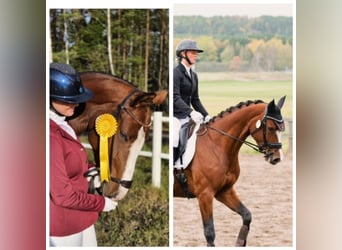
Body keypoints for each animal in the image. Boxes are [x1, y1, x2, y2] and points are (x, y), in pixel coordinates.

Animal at [174, 95, 286, 246]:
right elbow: (209, 232)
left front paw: (240, 242)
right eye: (270, 128)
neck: (216, 145)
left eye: (282, 129)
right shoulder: (205, 194)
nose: (277, 158)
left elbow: (247, 215)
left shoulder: (224, 191)